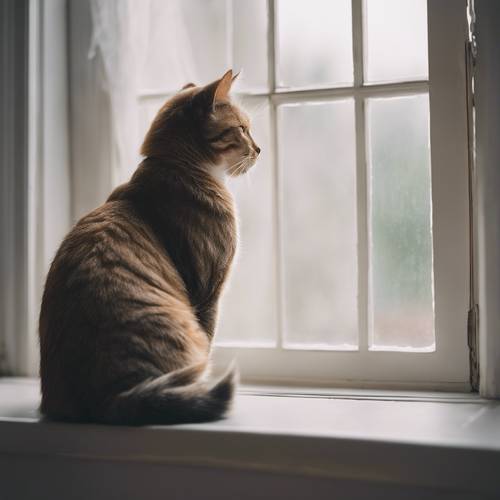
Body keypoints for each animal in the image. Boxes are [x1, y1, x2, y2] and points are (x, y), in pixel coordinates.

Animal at [39, 68, 262, 424]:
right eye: (242, 128)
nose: (259, 149)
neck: (176, 166)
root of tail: (107, 400)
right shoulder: (208, 291)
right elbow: (210, 337)